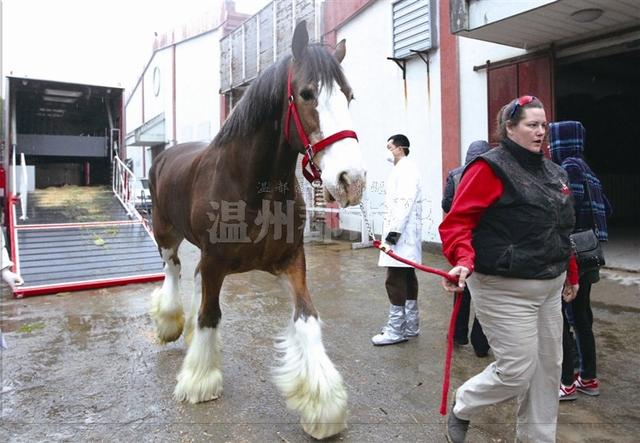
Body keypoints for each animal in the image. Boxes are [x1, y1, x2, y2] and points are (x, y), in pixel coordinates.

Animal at [147, 20, 362, 440]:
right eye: (307, 93)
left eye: (349, 95)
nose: (352, 179)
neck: (252, 188)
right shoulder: (215, 262)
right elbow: (210, 314)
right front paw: (200, 381)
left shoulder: (291, 261)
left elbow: (307, 319)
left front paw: (322, 403)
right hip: (164, 231)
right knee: (174, 269)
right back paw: (170, 323)